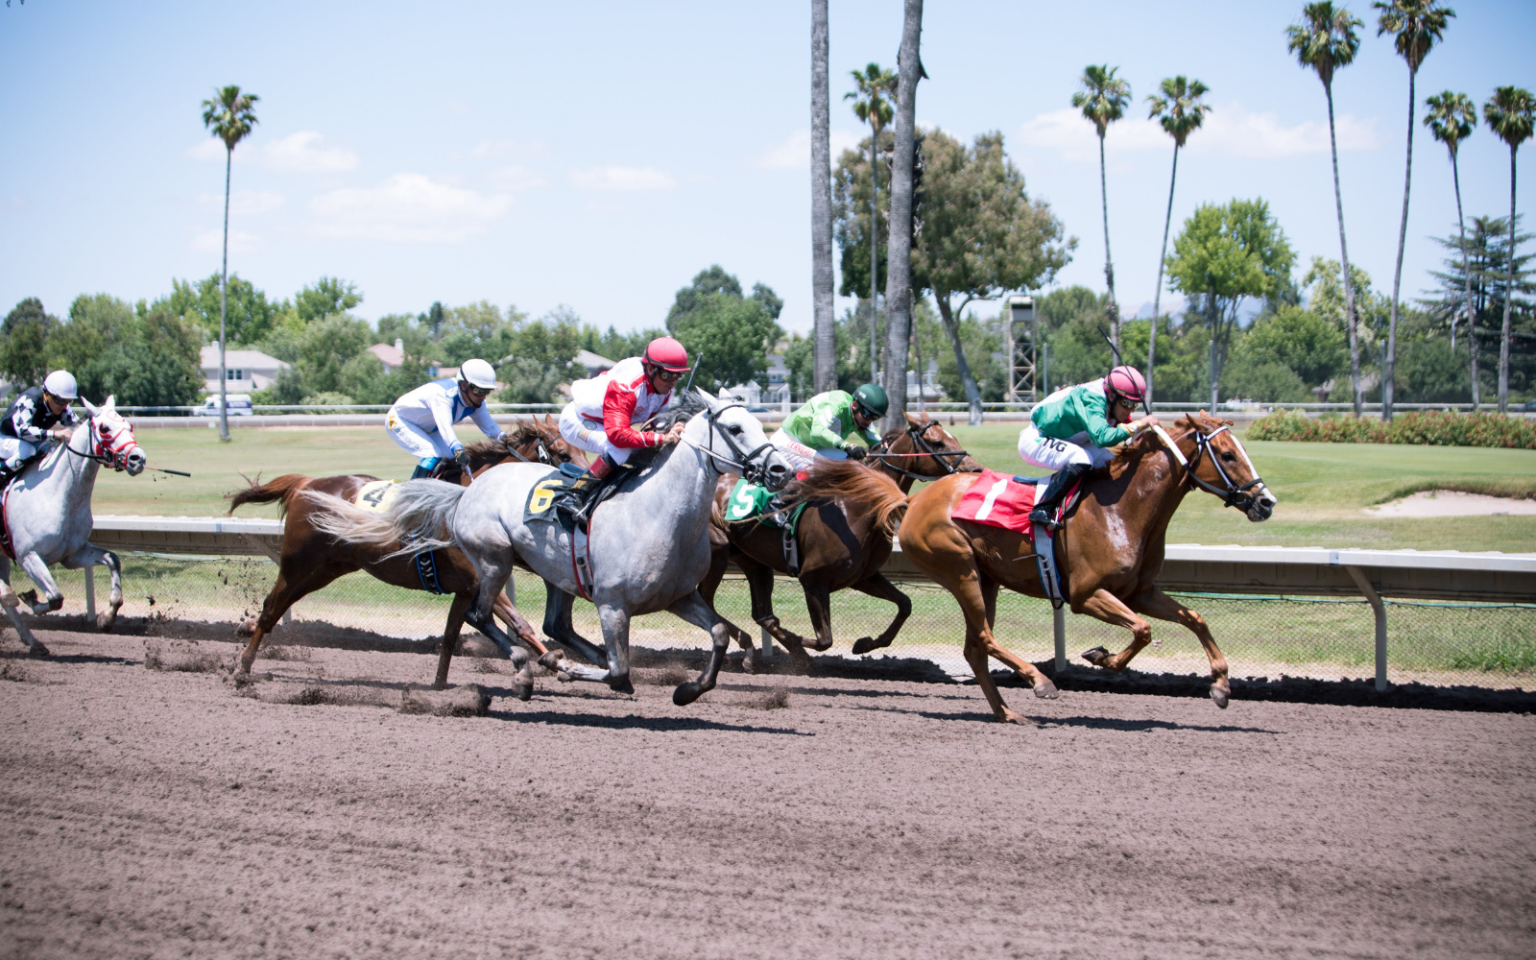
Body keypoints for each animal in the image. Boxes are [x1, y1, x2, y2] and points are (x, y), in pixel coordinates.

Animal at [1, 393, 145, 654]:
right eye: (104, 428)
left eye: (128, 426)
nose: (137, 458)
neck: (58, 495)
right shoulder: (28, 556)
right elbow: (55, 598)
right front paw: (31, 599)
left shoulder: (72, 554)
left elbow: (113, 560)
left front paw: (106, 618)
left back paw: (33, 642)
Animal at [224, 414, 583, 688]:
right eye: (563, 454)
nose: (585, 486)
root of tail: (305, 483)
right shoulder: (480, 581)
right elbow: (520, 624)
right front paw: (557, 661)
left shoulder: (465, 589)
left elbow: (450, 637)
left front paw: (439, 685)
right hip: (297, 562)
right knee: (272, 607)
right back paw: (242, 667)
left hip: (327, 568)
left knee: (281, 604)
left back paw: (246, 638)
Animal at [311, 390, 792, 703]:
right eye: (735, 427)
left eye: (758, 422)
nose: (781, 469)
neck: (659, 514)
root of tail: (467, 491)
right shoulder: (612, 605)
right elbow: (619, 670)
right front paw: (573, 670)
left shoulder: (680, 597)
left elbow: (718, 634)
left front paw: (688, 690)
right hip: (493, 560)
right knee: (481, 616)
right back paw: (528, 672)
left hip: (555, 573)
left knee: (554, 624)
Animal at [700, 411, 976, 666]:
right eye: (937, 443)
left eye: (953, 436)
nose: (974, 469)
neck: (860, 507)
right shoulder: (812, 580)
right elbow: (824, 640)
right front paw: (798, 643)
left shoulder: (863, 577)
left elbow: (905, 604)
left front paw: (864, 644)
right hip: (717, 553)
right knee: (708, 601)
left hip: (752, 560)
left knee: (761, 614)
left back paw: (754, 651)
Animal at [897, 411, 1277, 718]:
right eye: (1227, 454)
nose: (1266, 502)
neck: (1122, 509)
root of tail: (915, 499)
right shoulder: (1086, 594)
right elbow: (1143, 630)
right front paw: (1101, 656)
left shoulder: (1140, 592)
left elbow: (1195, 619)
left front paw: (1221, 685)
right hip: (961, 570)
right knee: (984, 637)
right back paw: (1041, 682)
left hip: (987, 578)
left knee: (975, 648)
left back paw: (1009, 714)